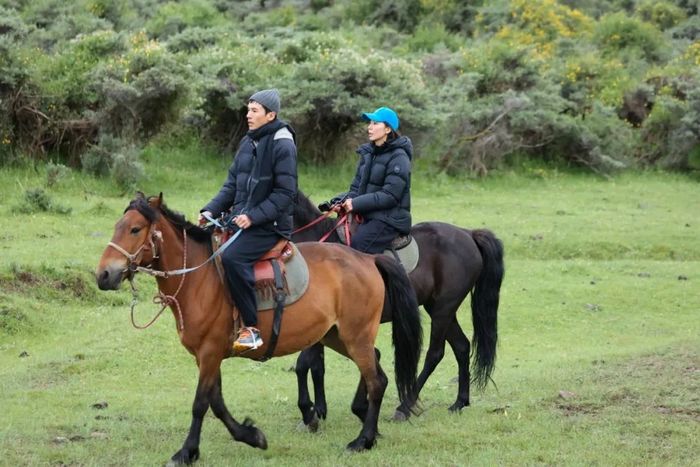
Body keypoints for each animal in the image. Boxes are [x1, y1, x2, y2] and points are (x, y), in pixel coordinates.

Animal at [95, 194, 424, 464]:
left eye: (135, 229)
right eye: (117, 226)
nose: (103, 275)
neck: (200, 278)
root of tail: (368, 258)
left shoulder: (210, 352)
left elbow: (201, 403)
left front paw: (186, 452)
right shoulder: (207, 356)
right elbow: (217, 401)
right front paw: (251, 436)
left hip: (355, 337)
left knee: (377, 381)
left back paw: (362, 440)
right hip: (337, 336)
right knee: (378, 371)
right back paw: (369, 431)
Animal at [292, 190, 504, 428]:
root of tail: (468, 234)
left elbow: (305, 363)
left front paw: (311, 412)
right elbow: (315, 365)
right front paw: (319, 410)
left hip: (444, 308)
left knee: (435, 354)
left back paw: (405, 406)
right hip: (438, 308)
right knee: (462, 346)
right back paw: (459, 402)